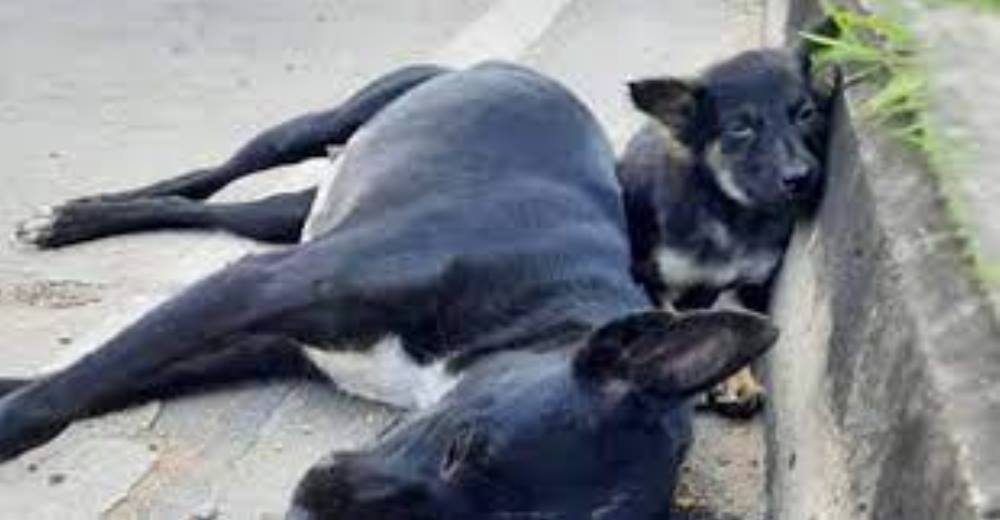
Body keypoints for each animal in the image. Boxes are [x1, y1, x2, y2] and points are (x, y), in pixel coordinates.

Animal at [0, 62, 772, 520]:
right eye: (463, 447)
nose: (309, 507)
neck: (537, 310)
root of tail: (524, 71)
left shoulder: (278, 344)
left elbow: (112, 378)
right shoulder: (258, 288)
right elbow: (73, 387)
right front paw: (14, 414)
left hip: (300, 210)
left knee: (228, 212)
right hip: (323, 124)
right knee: (211, 177)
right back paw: (74, 219)